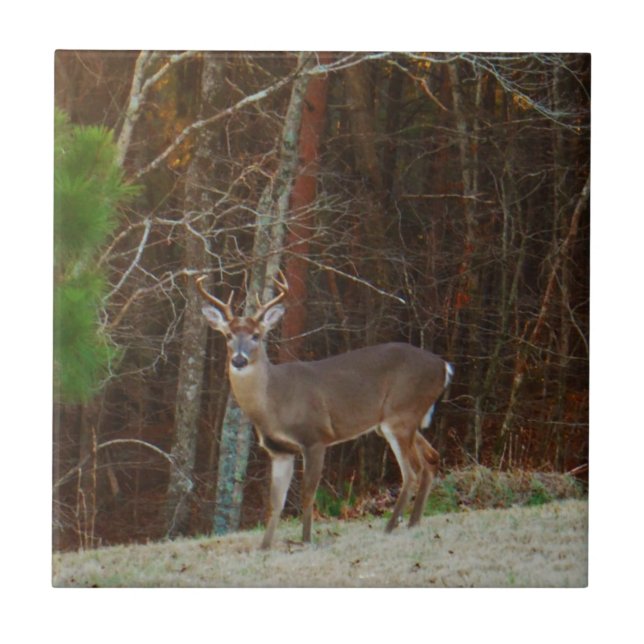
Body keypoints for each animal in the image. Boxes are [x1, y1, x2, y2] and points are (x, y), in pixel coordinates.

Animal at [197, 271, 453, 549]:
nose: (239, 360)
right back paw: (413, 523)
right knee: (431, 459)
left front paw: (306, 540)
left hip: (400, 414)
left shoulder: (315, 437)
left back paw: (389, 527)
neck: (274, 403)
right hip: (401, 420)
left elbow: (307, 494)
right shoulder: (280, 451)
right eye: (228, 335)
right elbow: (275, 503)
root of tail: (444, 366)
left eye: (256, 335)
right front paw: (264, 547)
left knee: (411, 472)